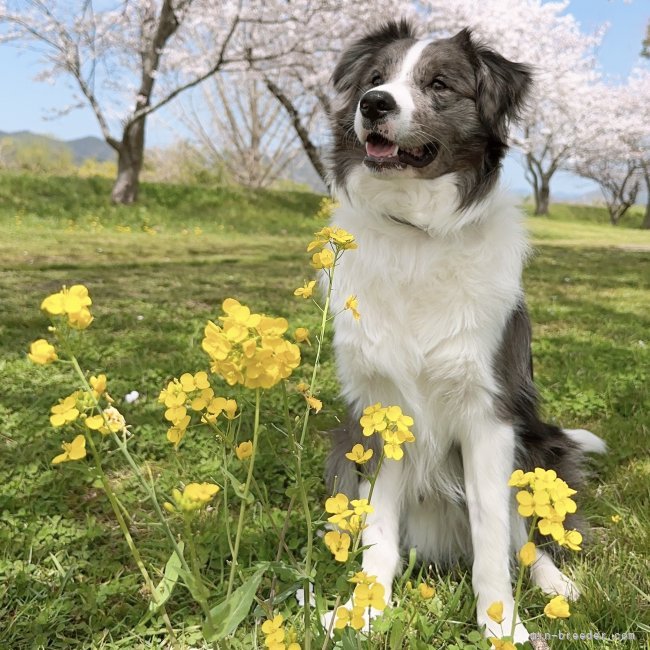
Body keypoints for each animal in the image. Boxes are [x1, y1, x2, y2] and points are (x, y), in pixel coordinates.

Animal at [324, 19, 604, 636]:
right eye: (376, 77)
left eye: (439, 84)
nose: (373, 104)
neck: (418, 231)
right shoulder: (381, 413)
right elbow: (379, 532)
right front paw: (366, 608)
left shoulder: (490, 414)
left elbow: (494, 535)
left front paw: (502, 627)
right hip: (341, 451)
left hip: (532, 445)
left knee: (526, 538)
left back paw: (557, 585)